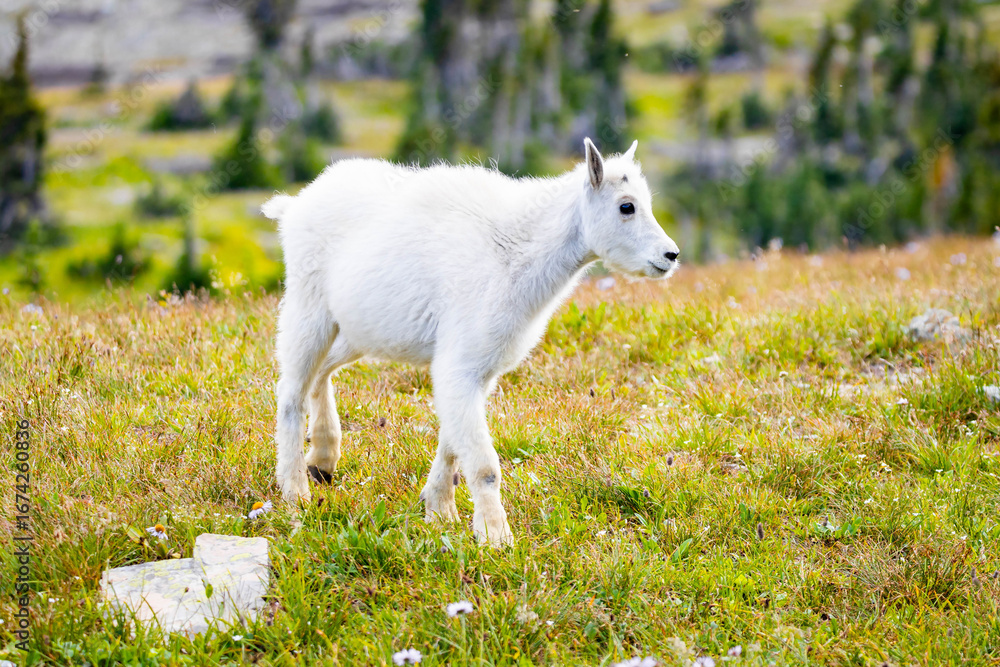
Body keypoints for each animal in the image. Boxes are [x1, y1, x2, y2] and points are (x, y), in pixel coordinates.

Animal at [261, 138, 679, 545]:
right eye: (626, 206)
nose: (670, 255)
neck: (521, 253)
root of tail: (296, 205)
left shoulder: (480, 368)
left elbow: (452, 444)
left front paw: (439, 511)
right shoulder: (462, 362)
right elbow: (483, 463)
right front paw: (496, 537)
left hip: (356, 328)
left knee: (322, 372)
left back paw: (323, 460)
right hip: (308, 305)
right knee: (291, 392)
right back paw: (295, 492)